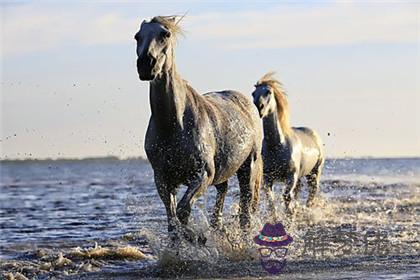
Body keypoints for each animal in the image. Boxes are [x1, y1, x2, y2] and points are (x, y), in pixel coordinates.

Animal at [135, 15, 262, 243]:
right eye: (137, 36)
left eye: (165, 34)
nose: (146, 65)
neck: (174, 125)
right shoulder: (163, 179)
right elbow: (172, 220)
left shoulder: (202, 175)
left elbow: (183, 211)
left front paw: (194, 238)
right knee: (223, 191)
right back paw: (217, 227)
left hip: (249, 167)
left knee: (246, 211)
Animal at [249, 72, 324, 217]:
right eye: (253, 93)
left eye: (268, 92)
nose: (259, 107)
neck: (277, 145)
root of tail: (314, 135)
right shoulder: (268, 178)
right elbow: (271, 200)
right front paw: (276, 217)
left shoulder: (291, 177)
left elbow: (286, 196)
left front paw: (290, 213)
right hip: (301, 176)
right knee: (298, 191)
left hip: (314, 172)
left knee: (312, 193)